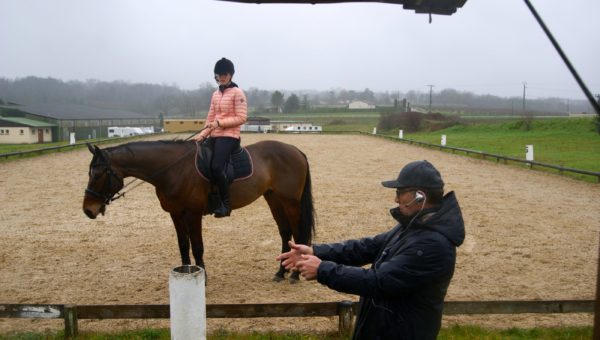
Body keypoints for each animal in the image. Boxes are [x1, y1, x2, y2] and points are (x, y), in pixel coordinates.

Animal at [82, 138, 316, 282]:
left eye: (99, 174)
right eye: (89, 172)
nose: (88, 210)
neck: (174, 169)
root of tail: (295, 150)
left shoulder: (193, 214)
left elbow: (197, 247)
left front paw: (202, 278)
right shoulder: (176, 213)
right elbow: (183, 245)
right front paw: (185, 273)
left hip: (290, 202)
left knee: (297, 233)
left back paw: (294, 275)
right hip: (273, 198)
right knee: (285, 233)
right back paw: (281, 272)